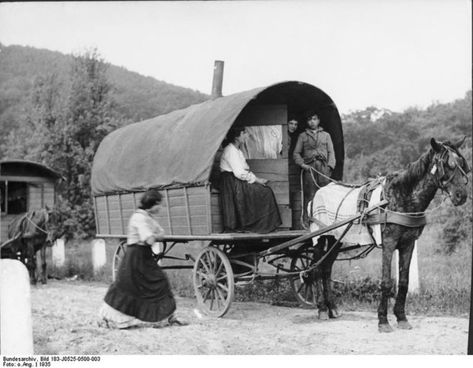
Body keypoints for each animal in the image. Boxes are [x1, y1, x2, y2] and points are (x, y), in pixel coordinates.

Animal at [306, 137, 468, 332]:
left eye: (462, 164)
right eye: (447, 164)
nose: (461, 195)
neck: (401, 196)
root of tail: (318, 192)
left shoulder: (408, 243)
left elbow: (404, 282)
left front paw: (401, 317)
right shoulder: (389, 243)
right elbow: (386, 282)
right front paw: (383, 320)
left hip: (337, 240)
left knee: (326, 269)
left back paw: (333, 308)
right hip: (321, 237)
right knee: (316, 268)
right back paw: (322, 309)